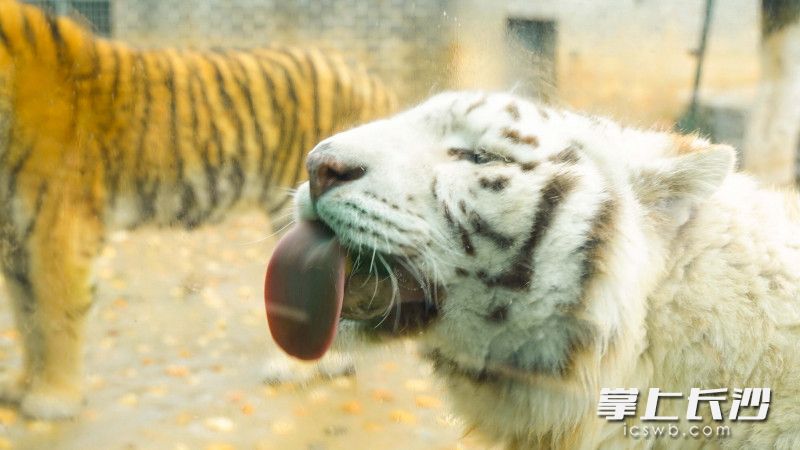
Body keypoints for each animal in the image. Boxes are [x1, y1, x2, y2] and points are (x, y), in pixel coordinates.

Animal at [0, 0, 395, 419]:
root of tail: (375, 81)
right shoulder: (16, 240)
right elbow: (26, 319)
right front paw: (22, 385)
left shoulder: (55, 233)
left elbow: (53, 318)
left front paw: (52, 398)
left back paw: (295, 368)